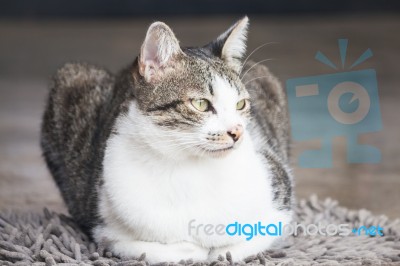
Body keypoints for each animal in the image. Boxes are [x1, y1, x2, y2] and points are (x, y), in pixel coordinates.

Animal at [40, 17, 292, 264]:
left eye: (240, 104)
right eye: (201, 104)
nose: (237, 132)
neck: (191, 167)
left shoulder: (279, 201)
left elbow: (243, 242)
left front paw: (222, 251)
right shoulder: (105, 230)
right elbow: (163, 249)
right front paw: (195, 251)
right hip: (71, 78)